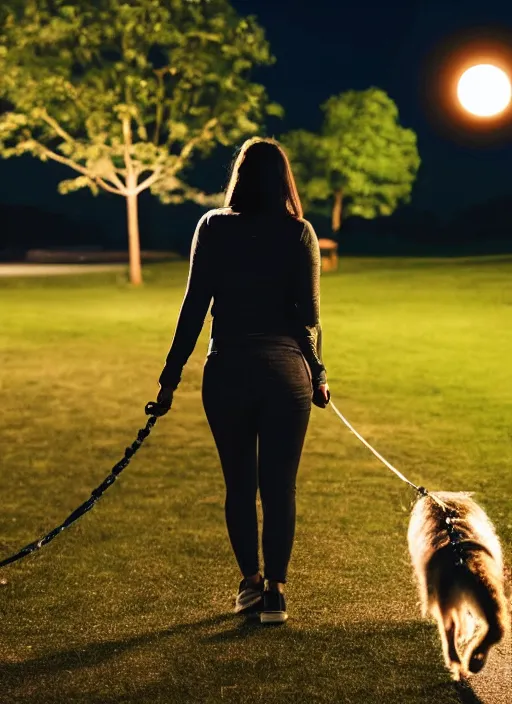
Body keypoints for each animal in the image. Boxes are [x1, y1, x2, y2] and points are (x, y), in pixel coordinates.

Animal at [406, 492, 510, 680]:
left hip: (449, 599)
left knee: (450, 630)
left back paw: (459, 663)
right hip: (486, 594)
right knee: (496, 627)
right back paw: (474, 660)